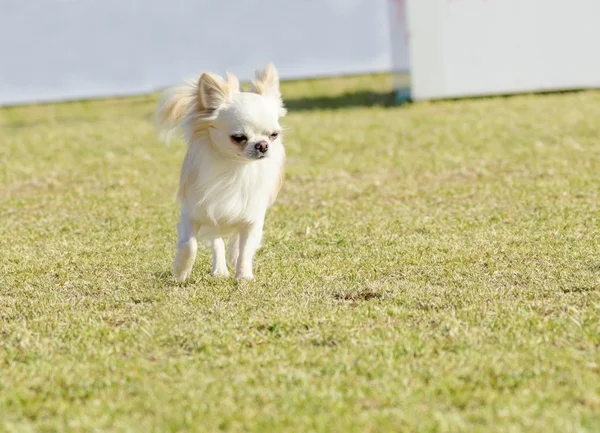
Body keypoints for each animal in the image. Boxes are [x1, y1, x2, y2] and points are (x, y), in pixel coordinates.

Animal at [155, 63, 286, 280]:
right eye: (239, 137)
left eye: (274, 135)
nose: (263, 145)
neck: (234, 167)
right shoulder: (193, 213)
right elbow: (189, 245)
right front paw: (181, 272)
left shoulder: (252, 219)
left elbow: (245, 249)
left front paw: (244, 276)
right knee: (217, 241)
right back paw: (219, 270)